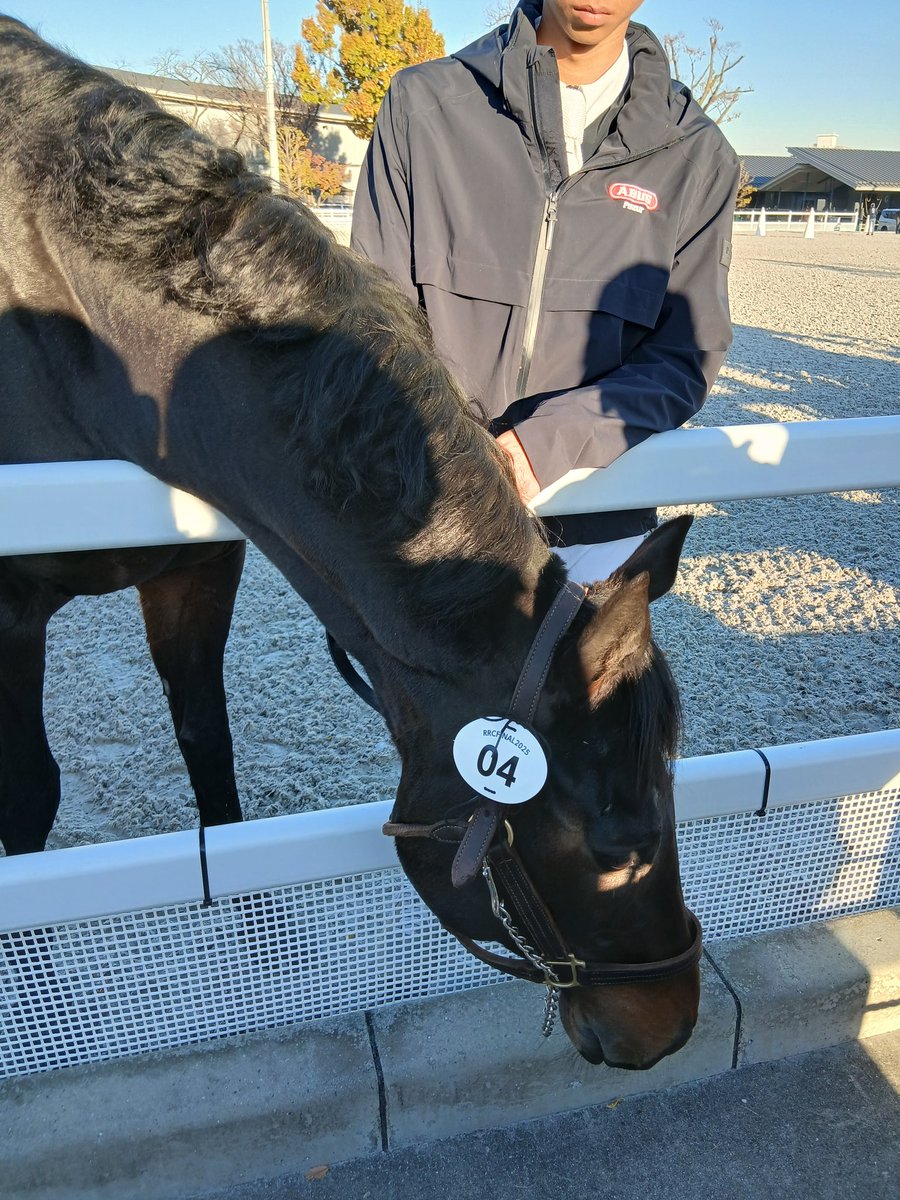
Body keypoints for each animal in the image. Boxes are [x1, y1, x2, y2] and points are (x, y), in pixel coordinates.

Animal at [0, 16, 701, 1069]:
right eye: (620, 849)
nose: (668, 1028)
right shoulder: (7, 611)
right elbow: (31, 796)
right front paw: (33, 984)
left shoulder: (199, 570)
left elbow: (209, 748)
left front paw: (264, 937)